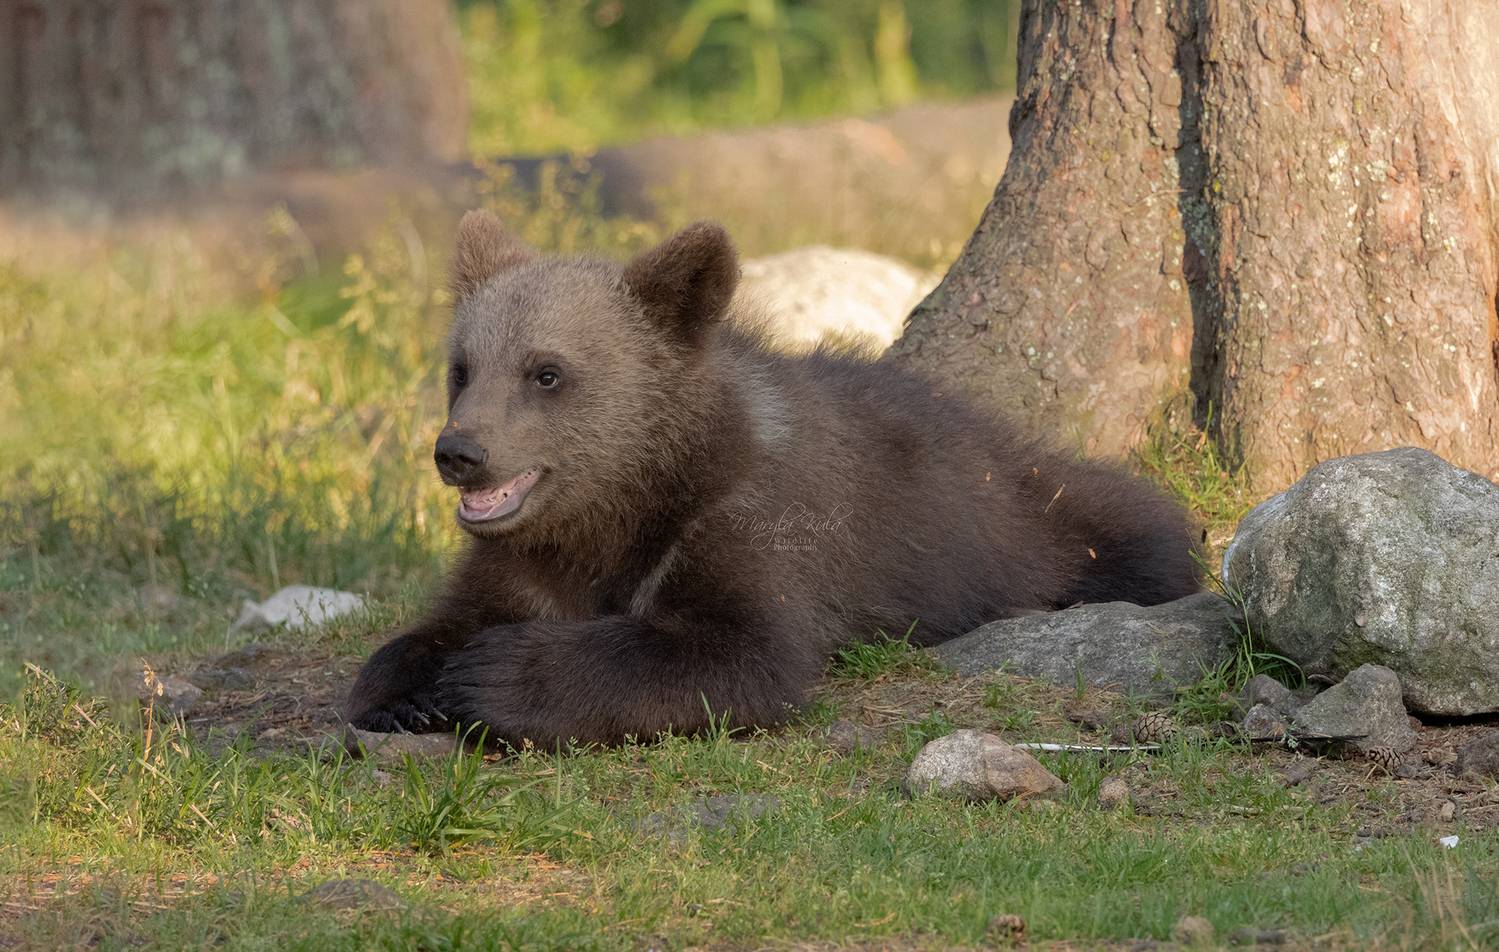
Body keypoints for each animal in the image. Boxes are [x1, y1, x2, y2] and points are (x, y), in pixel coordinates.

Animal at [343, 211, 1201, 748]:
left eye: (545, 372)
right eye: (462, 367)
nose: (458, 451)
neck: (629, 500)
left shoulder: (755, 523)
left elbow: (739, 653)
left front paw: (488, 676)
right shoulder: (525, 558)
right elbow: (438, 623)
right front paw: (407, 685)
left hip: (1034, 518)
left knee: (1138, 531)